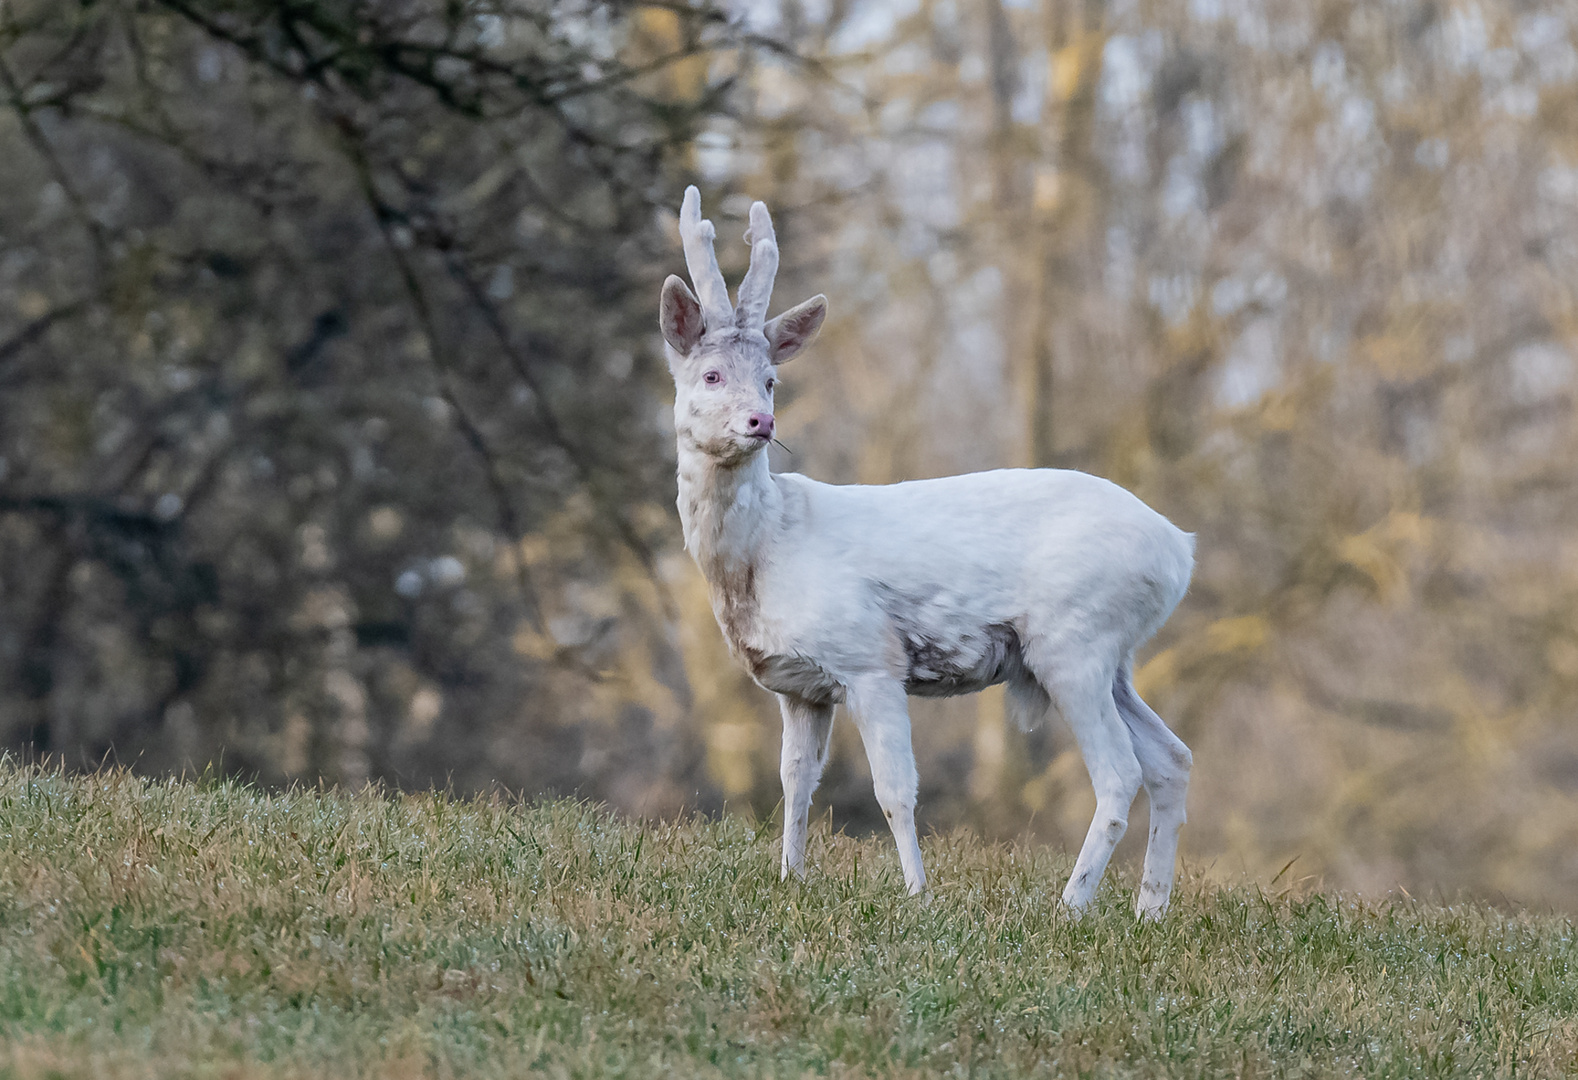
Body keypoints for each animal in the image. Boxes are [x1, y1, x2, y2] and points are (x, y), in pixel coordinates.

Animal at [656, 189, 1192, 915]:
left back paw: (1071, 906)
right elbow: (796, 780)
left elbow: (895, 791)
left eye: (770, 380)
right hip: (1115, 658)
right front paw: (790, 878)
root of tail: (1180, 551)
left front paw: (917, 893)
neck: (768, 548)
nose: (760, 422)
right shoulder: (801, 688)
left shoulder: (870, 657)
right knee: (1171, 759)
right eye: (711, 374)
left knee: (1119, 772)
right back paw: (1148, 910)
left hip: (1074, 640)